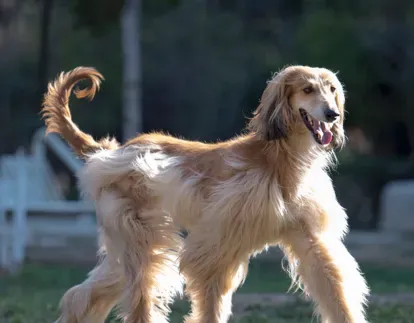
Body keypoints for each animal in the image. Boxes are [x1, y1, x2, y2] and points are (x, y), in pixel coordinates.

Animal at [41, 66, 368, 323]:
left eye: (332, 89)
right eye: (307, 89)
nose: (332, 114)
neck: (280, 161)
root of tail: (110, 152)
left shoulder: (309, 235)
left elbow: (333, 285)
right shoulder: (216, 245)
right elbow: (210, 297)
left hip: (132, 237)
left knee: (88, 292)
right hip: (140, 233)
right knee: (140, 290)